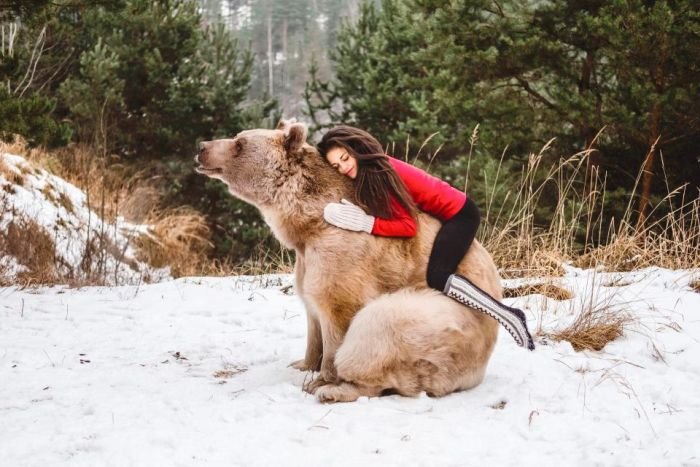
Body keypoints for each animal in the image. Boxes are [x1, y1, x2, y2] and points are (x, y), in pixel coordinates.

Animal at [194, 119, 500, 402]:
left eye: (239, 143)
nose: (202, 148)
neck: (309, 222)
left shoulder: (341, 247)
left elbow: (337, 306)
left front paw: (321, 379)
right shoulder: (306, 258)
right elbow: (311, 309)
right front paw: (303, 363)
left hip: (446, 321)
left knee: (382, 327)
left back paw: (336, 391)